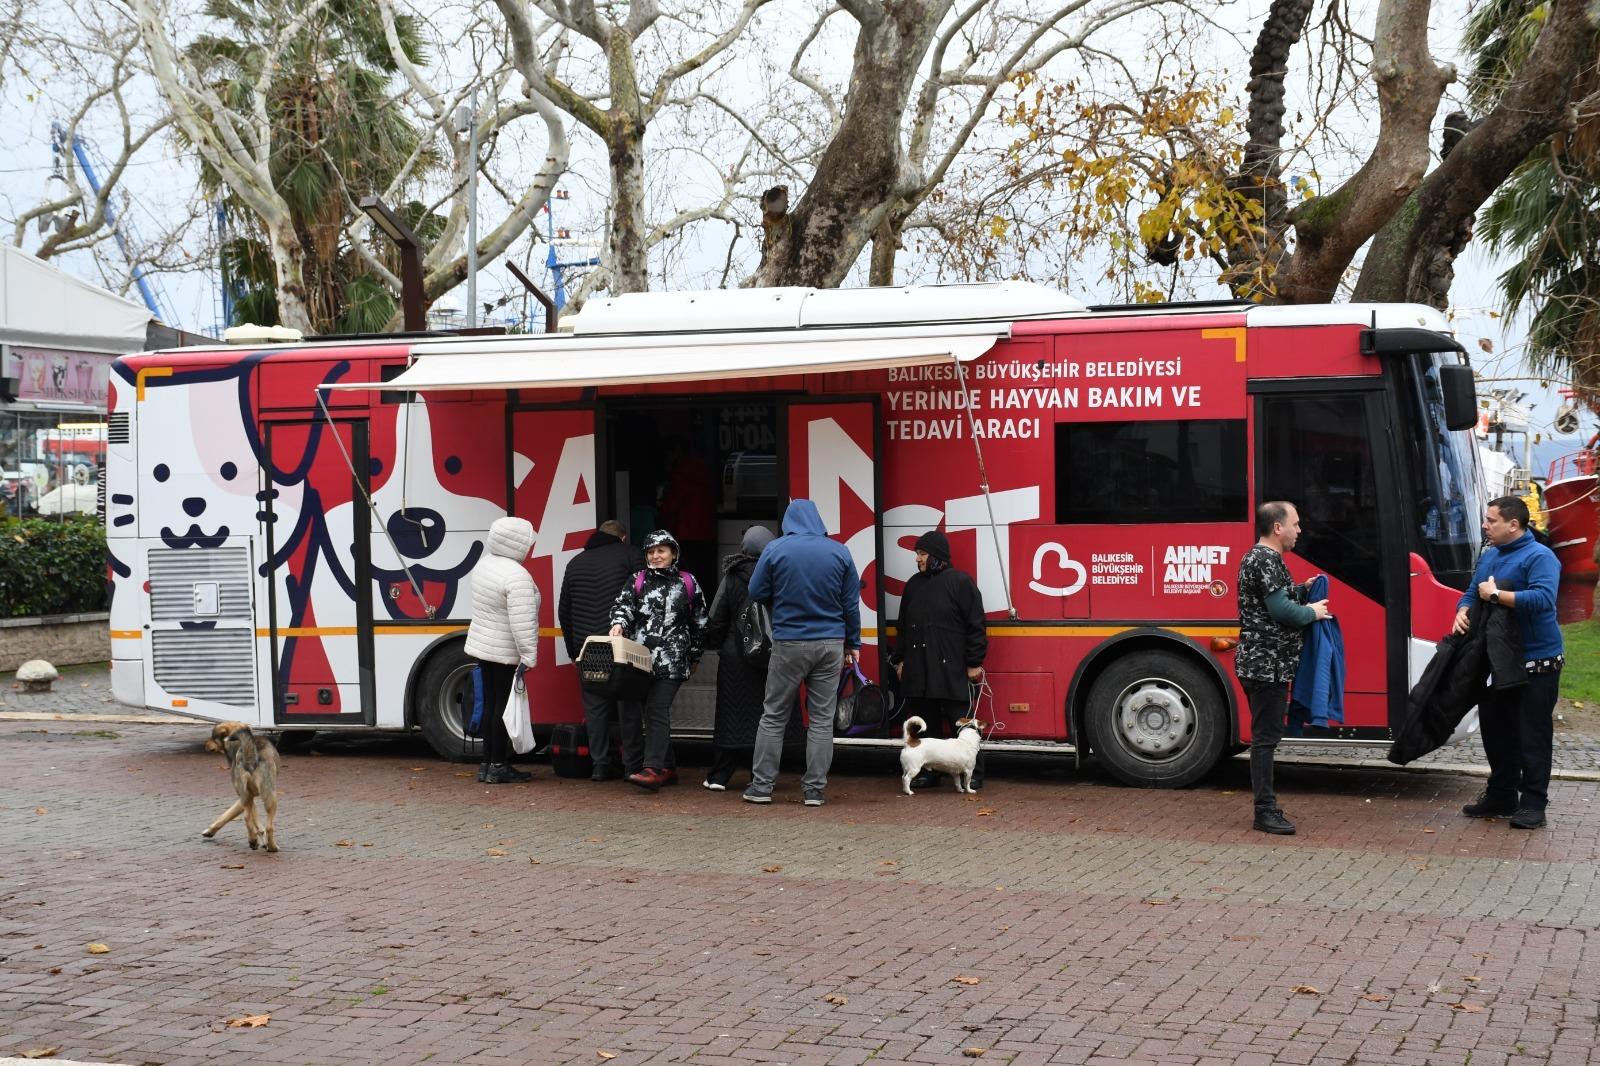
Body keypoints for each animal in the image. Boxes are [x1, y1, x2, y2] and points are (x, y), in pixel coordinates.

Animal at [201, 717, 280, 851]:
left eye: (212, 737)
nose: (205, 746)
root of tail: (250, 752)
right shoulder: (248, 796)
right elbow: (235, 816)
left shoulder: (245, 796)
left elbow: (229, 814)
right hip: (268, 795)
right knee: (262, 823)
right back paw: (266, 845)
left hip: (257, 795)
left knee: (252, 820)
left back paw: (259, 843)